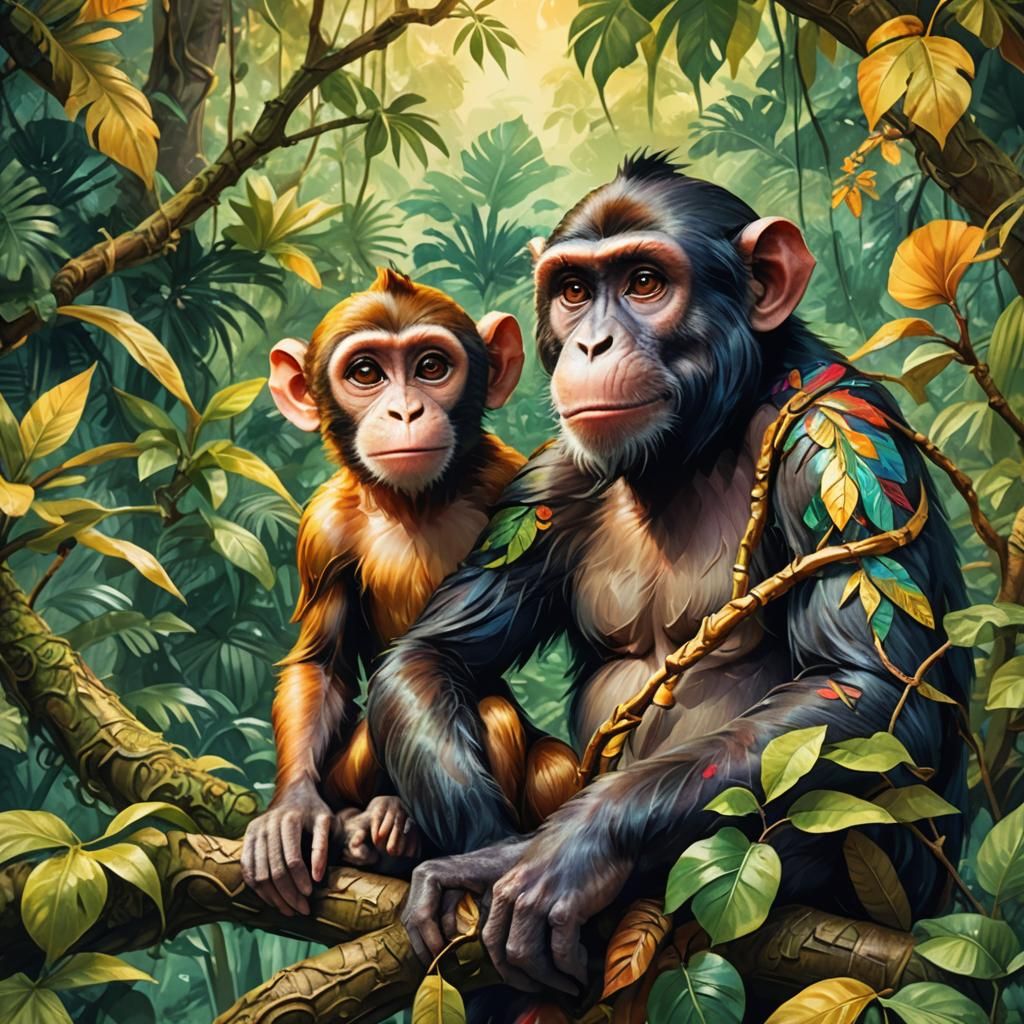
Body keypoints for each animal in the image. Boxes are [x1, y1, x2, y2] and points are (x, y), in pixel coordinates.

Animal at [240, 268, 580, 918]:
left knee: (515, 730)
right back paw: (365, 823)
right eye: (365, 373)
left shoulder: (516, 479)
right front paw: (291, 807)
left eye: (430, 366)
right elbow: (322, 661)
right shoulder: (323, 528)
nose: (404, 409)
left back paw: (397, 825)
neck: (417, 504)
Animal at [366, 156, 969, 999]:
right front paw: (482, 859)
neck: (699, 441)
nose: (592, 344)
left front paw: (558, 855)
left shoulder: (842, 440)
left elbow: (864, 689)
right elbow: (434, 653)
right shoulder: (548, 484)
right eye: (574, 290)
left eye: (646, 281)